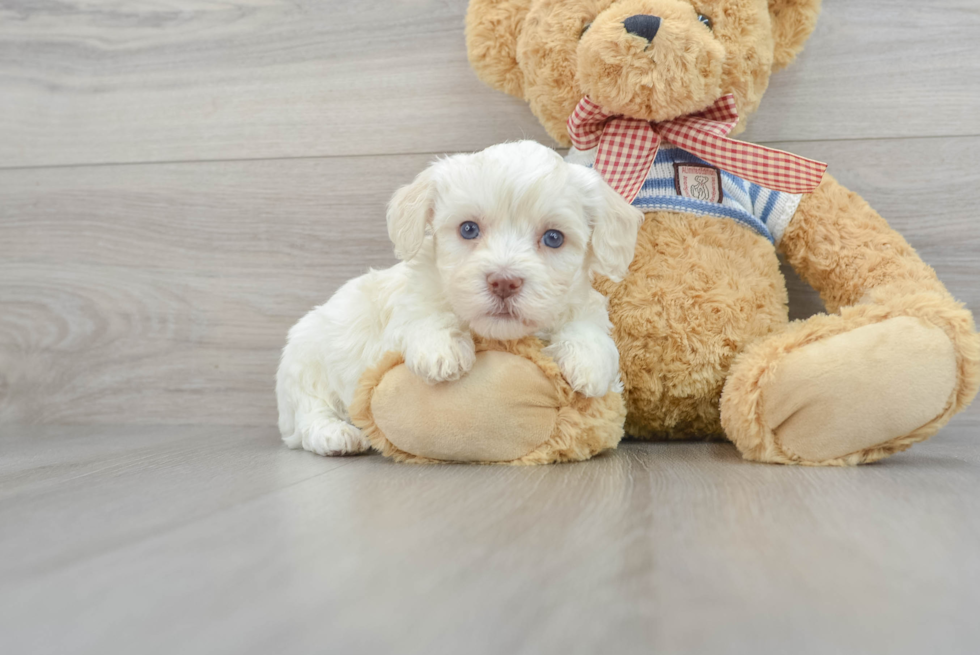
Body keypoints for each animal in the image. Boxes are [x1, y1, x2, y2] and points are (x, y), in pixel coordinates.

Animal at [276, 140, 644, 454]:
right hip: (305, 361)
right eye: (468, 229)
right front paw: (441, 349)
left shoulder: (581, 303)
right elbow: (424, 313)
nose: (504, 282)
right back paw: (334, 434)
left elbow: (588, 326)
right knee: (310, 410)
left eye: (553, 238)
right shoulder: (403, 310)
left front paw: (589, 359)